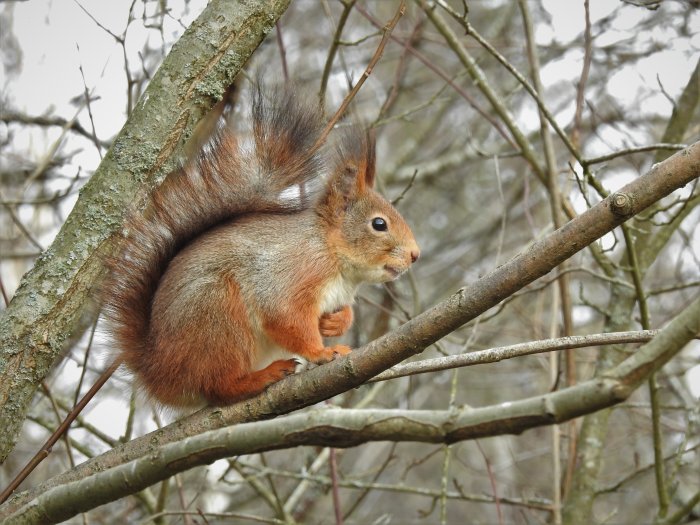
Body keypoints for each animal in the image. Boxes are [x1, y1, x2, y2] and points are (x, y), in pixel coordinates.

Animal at [103, 85, 418, 406]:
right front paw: (321, 351)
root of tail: (157, 371)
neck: (333, 256)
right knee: (220, 385)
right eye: (379, 224)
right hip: (218, 315)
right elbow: (284, 316)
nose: (415, 255)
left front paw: (336, 323)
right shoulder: (292, 273)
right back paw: (261, 377)